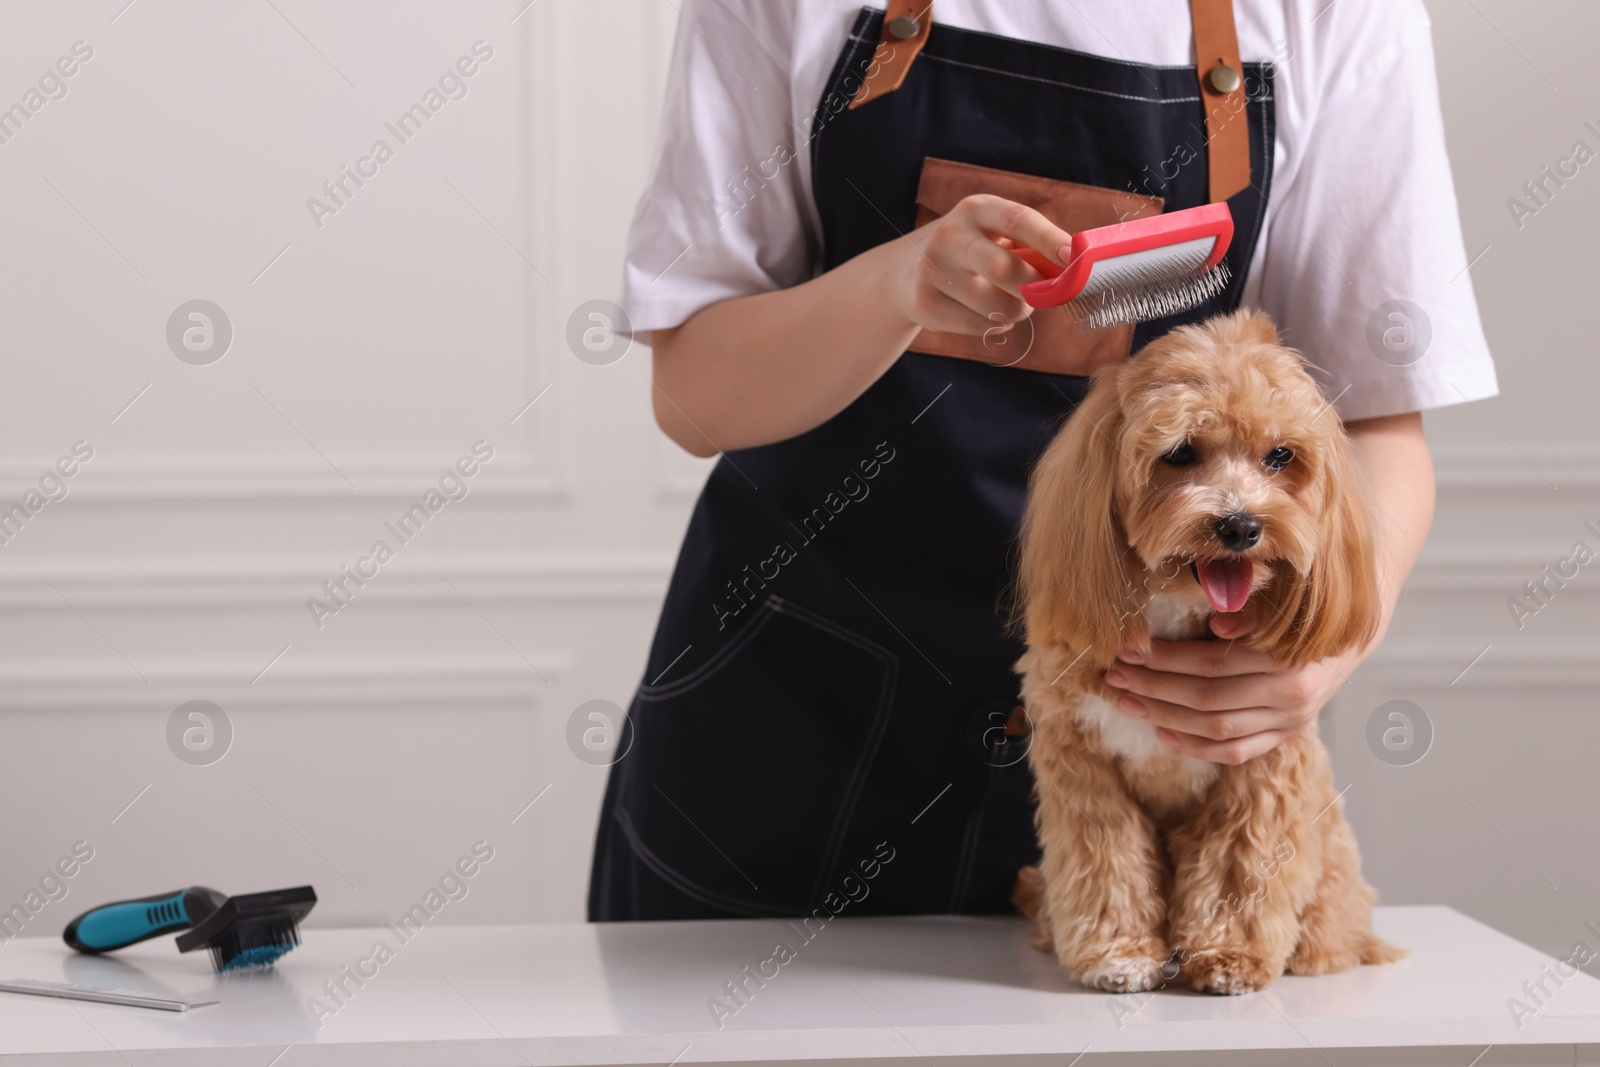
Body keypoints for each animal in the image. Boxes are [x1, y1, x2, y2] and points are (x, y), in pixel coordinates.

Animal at [1017, 313, 1395, 998]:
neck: (1175, 608)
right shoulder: (1082, 767)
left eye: (1281, 456)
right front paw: (1119, 953)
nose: (1241, 526)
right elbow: (1105, 863)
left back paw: (1325, 950)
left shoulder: (1260, 771)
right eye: (1180, 453)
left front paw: (1228, 955)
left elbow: (1238, 866)